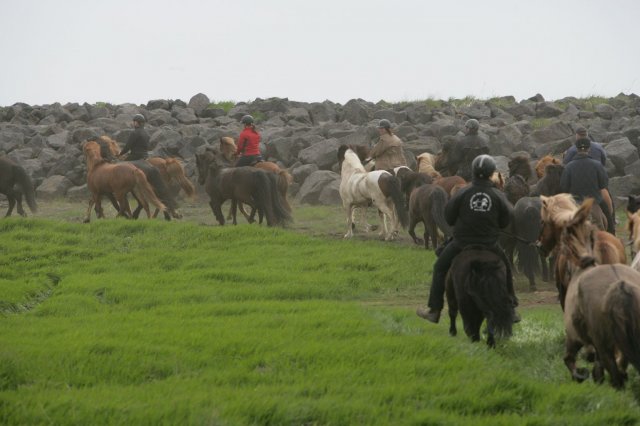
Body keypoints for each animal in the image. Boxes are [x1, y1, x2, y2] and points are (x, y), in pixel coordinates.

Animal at [552, 198, 640, 388]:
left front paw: (581, 374)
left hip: (603, 344)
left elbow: (569, 359)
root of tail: (619, 286)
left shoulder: (574, 338)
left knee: (615, 376)